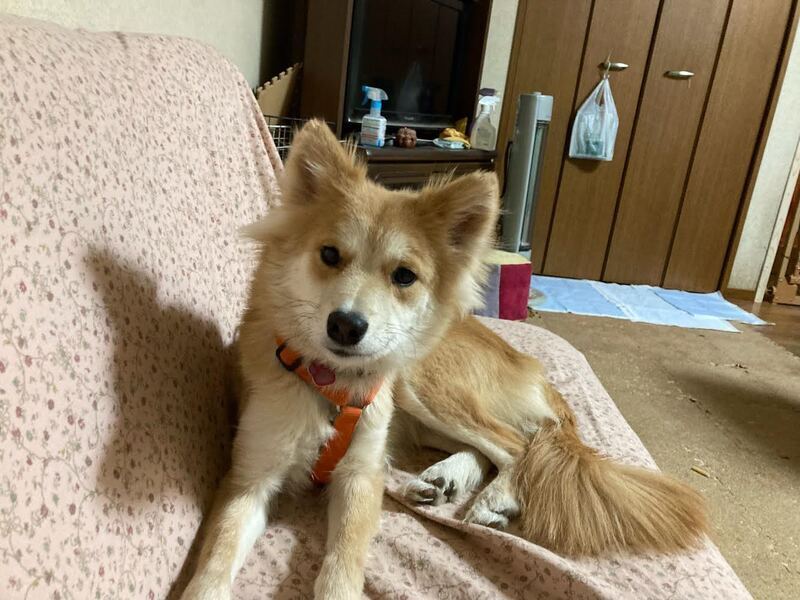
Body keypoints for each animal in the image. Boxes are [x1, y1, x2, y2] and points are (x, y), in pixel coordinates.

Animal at [181, 120, 707, 599]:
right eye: (329, 254)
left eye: (404, 276)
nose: (346, 326)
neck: (331, 384)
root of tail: (529, 363)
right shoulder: (249, 477)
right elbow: (217, 558)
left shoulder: (358, 477)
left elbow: (343, 560)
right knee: (484, 448)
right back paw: (438, 479)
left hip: (420, 383)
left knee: (515, 443)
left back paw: (491, 497)